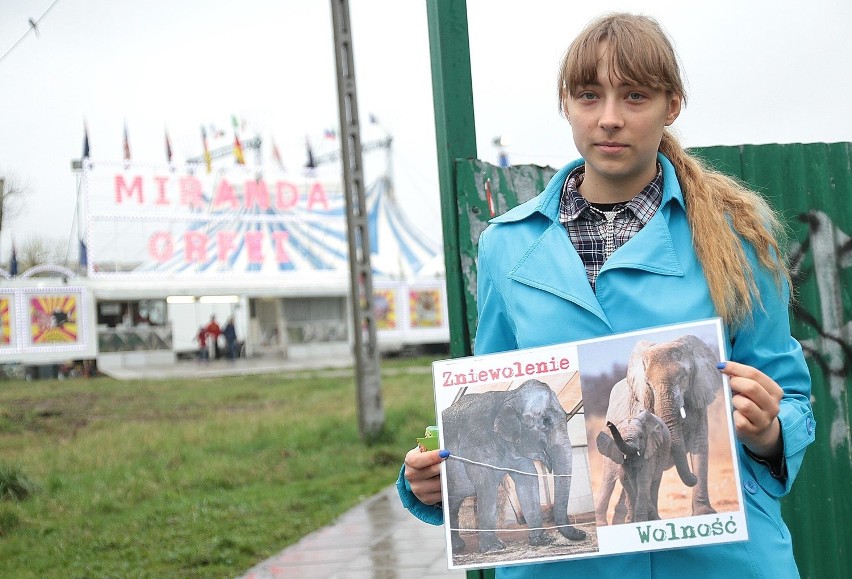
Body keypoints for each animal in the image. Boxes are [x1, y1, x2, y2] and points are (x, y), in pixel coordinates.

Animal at [440, 378, 584, 556]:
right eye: (545, 422)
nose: (582, 532)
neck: (507, 397)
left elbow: (528, 481)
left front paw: (542, 540)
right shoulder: (476, 444)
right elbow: (487, 486)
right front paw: (494, 549)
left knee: (453, 504)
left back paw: (457, 547)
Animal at [596, 334, 724, 528]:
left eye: (684, 376)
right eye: (648, 383)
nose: (693, 477)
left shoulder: (698, 398)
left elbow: (699, 445)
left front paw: (704, 513)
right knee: (609, 478)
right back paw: (605, 523)